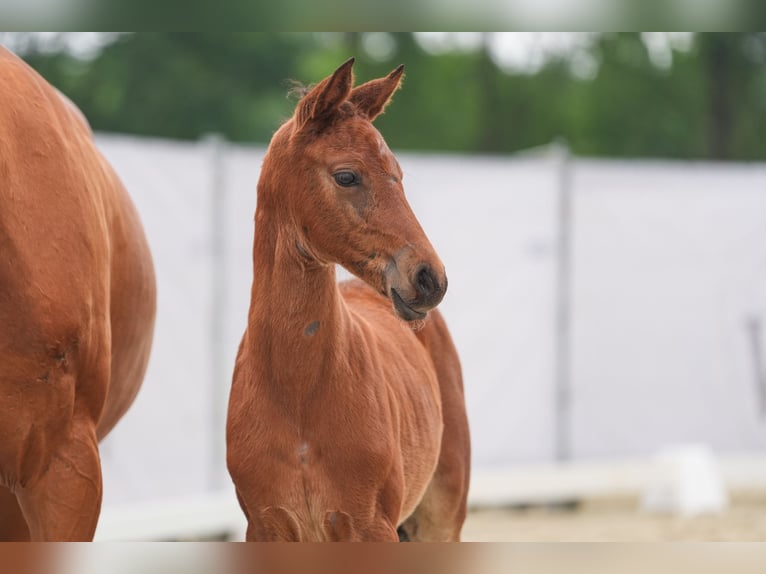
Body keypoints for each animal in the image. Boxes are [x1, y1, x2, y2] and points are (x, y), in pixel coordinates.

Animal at [225, 59, 472, 544]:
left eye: (399, 174)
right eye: (347, 176)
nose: (430, 278)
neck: (296, 394)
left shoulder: (370, 527)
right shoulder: (265, 527)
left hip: (440, 519)